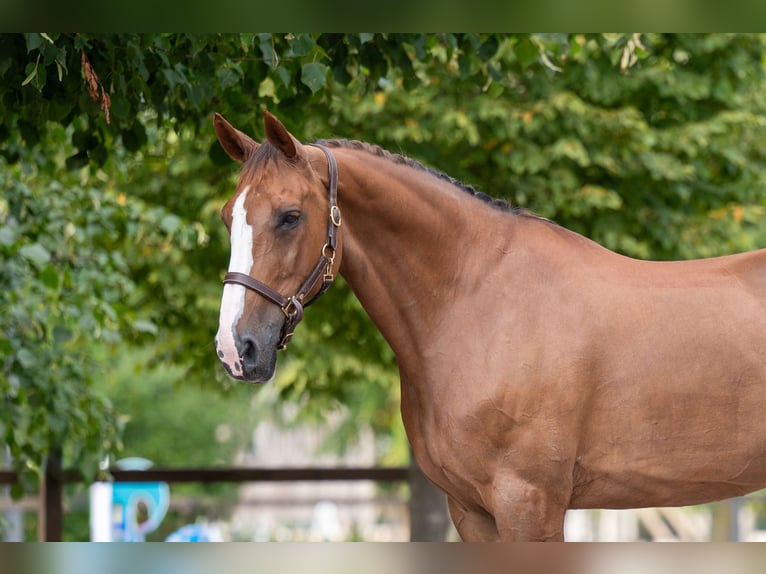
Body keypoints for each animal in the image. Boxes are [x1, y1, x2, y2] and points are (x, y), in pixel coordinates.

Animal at [213, 110, 766, 541]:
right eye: (227, 218)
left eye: (289, 216)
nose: (235, 349)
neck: (475, 300)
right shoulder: (471, 510)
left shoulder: (529, 505)